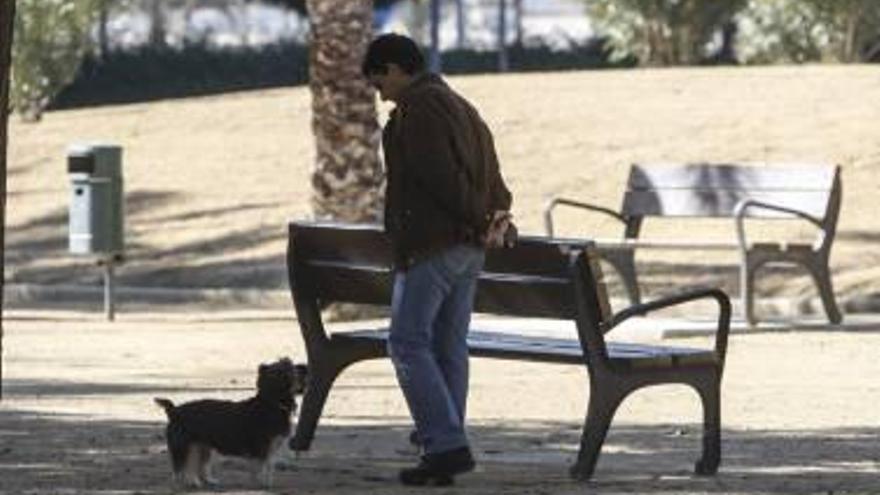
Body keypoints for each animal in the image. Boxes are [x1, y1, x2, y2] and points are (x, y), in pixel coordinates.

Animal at [155, 358, 310, 490]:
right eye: (291, 368)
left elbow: (269, 466)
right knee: (180, 468)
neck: (271, 403)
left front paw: (267, 483)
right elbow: (260, 467)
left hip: (202, 446)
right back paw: (182, 484)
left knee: (198, 466)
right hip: (183, 446)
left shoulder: (271, 448)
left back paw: (202, 481)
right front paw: (260, 483)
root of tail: (174, 410)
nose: (306, 366)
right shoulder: (260, 448)